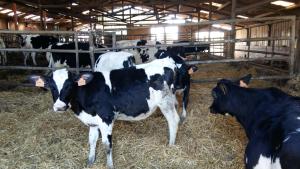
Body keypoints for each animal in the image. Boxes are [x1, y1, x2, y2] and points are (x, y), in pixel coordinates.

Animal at [29, 56, 193, 168]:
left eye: (70, 85)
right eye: (51, 86)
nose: (59, 106)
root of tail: (169, 61)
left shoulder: (106, 118)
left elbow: (107, 145)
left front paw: (109, 165)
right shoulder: (93, 121)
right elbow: (92, 140)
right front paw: (90, 162)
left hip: (166, 102)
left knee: (174, 120)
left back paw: (171, 145)